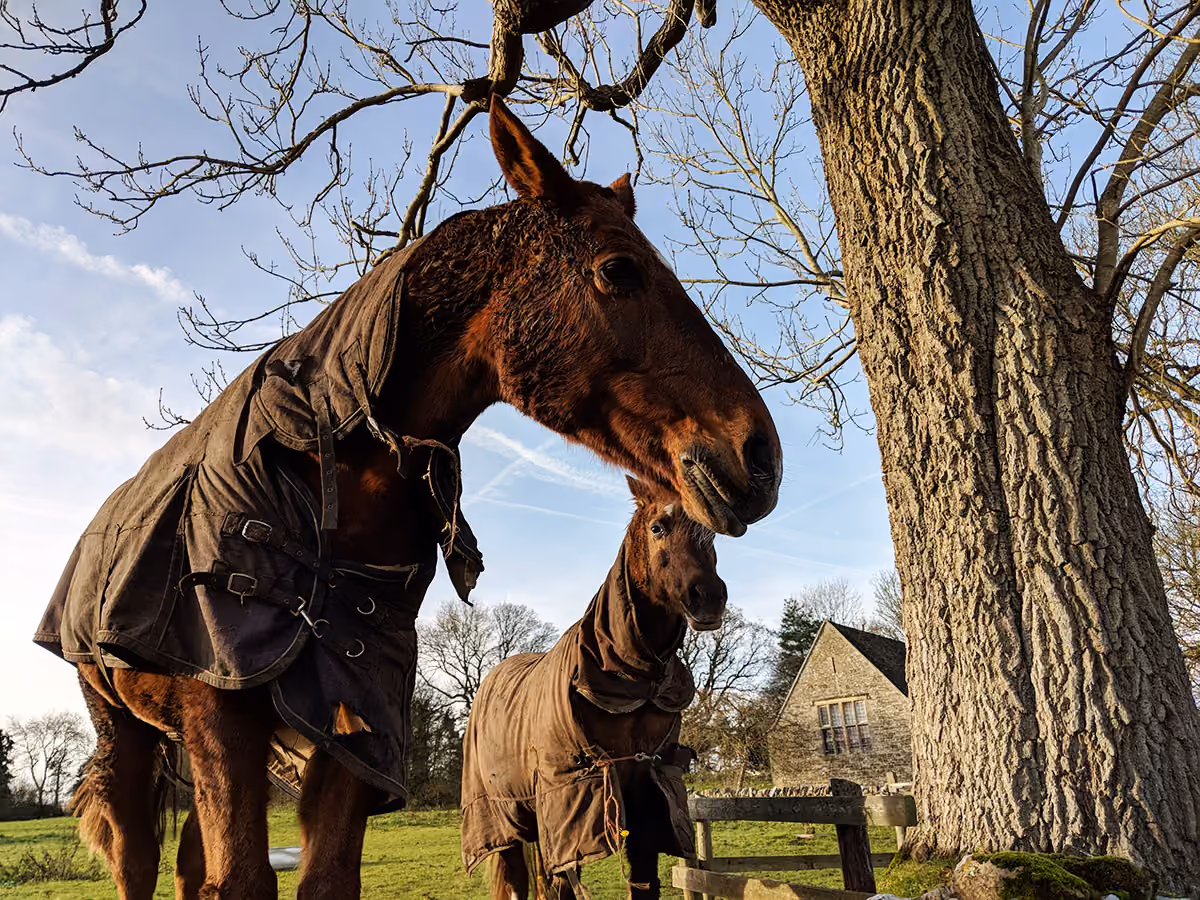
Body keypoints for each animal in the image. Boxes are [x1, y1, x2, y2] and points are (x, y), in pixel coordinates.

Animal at [461, 476, 726, 900]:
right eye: (658, 527)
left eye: (712, 534)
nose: (710, 598)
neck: (634, 682)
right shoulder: (570, 805)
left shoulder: (648, 796)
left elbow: (643, 883)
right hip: (503, 818)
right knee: (518, 880)